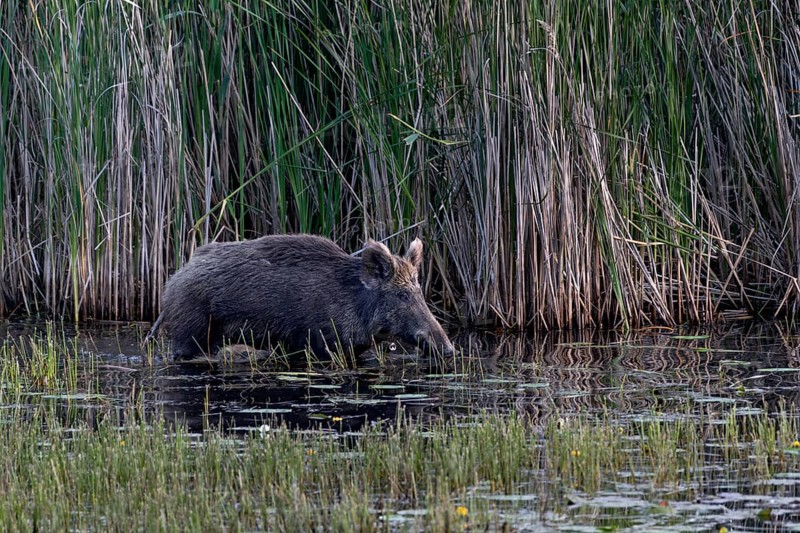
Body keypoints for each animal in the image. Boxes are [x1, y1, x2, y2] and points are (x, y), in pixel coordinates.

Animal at [146, 234, 454, 360]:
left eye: (419, 292)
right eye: (401, 295)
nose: (449, 349)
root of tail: (172, 281)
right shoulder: (322, 345)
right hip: (191, 334)